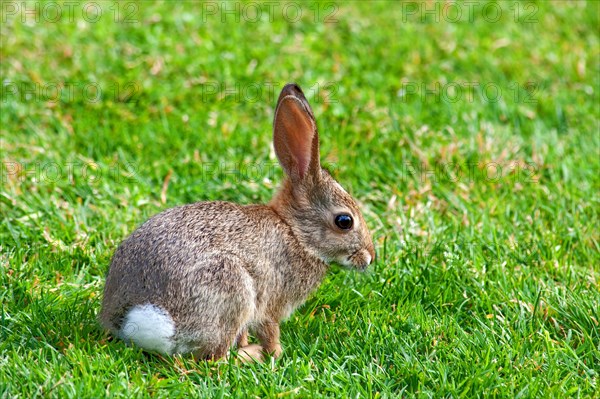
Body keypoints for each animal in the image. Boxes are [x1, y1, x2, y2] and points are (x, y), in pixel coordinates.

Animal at [101, 83, 376, 362]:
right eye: (344, 221)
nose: (370, 257)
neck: (295, 233)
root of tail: (136, 318)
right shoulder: (270, 303)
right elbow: (270, 329)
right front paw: (276, 353)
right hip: (230, 288)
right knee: (215, 358)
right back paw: (249, 356)